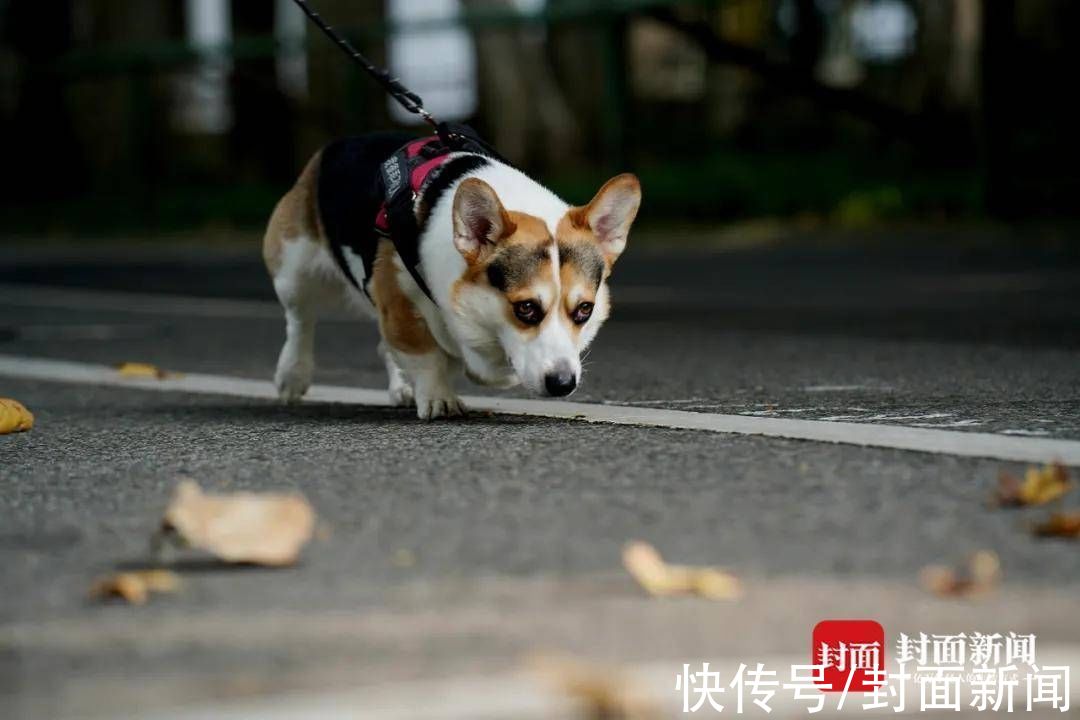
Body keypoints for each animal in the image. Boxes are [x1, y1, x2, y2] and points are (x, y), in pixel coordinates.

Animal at [262, 132, 639, 418]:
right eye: (526, 308)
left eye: (584, 310)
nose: (563, 384)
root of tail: (336, 145)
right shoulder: (396, 299)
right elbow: (425, 353)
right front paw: (438, 398)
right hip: (294, 270)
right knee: (300, 320)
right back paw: (292, 375)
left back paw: (403, 387)